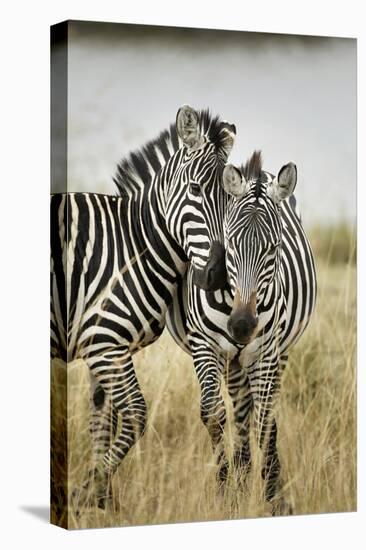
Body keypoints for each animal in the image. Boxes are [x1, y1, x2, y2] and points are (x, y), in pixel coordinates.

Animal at [50, 104, 236, 512]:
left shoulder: (105, 349)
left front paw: (101, 504)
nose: (217, 276)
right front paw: (87, 493)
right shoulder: (105, 345)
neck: (135, 245)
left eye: (232, 200)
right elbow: (135, 415)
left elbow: (102, 421)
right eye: (195, 190)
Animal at [167, 151, 316, 516]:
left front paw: (273, 497)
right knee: (239, 411)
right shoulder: (205, 346)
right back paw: (242, 477)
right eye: (230, 244)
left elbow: (265, 420)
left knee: (258, 412)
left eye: (274, 248)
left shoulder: (266, 352)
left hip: (277, 354)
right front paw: (226, 493)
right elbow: (214, 414)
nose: (242, 326)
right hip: (234, 361)